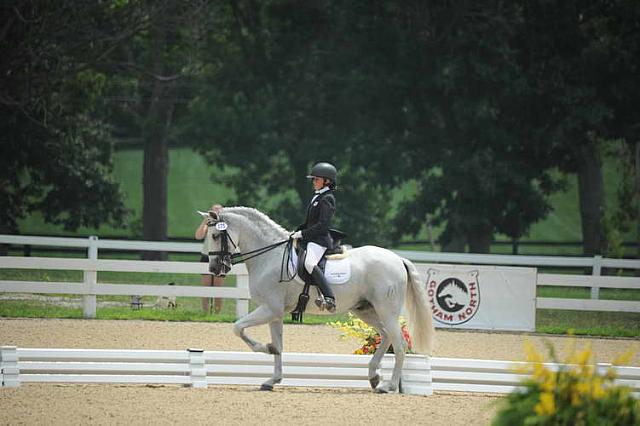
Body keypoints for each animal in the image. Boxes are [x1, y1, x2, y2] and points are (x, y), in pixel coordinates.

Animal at [205, 206, 436, 392]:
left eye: (216, 235)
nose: (215, 269)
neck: (269, 257)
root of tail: (398, 259)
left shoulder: (269, 309)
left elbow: (238, 327)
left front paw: (265, 348)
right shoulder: (275, 313)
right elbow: (279, 346)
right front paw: (272, 379)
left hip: (386, 310)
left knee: (399, 344)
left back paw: (389, 386)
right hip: (365, 310)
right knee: (386, 336)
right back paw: (374, 376)